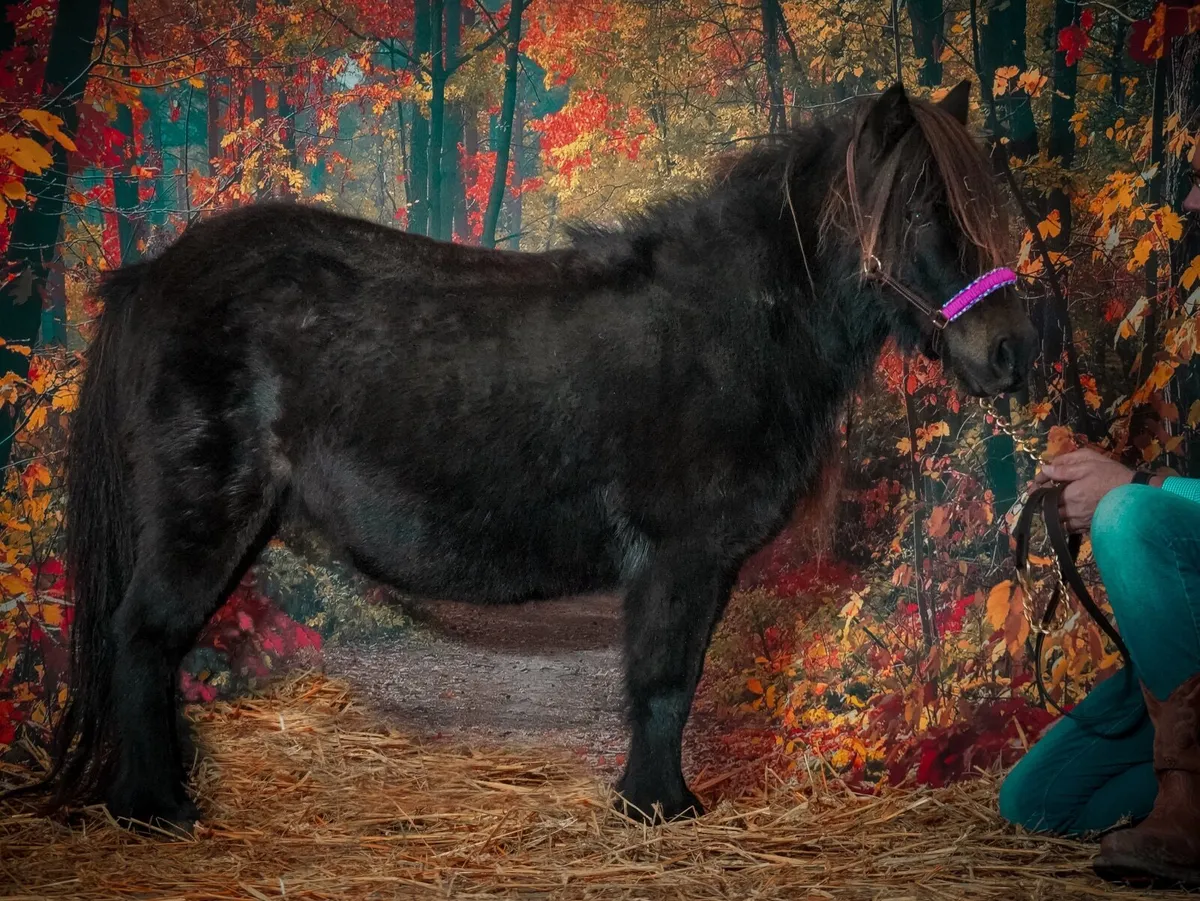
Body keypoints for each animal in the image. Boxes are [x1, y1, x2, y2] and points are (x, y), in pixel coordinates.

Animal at [38, 78, 1035, 829]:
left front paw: (656, 801)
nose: (1013, 351)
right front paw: (658, 807)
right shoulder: (679, 557)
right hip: (204, 513)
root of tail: (152, 273)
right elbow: (664, 681)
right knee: (145, 638)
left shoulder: (701, 565)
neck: (726, 325)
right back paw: (156, 808)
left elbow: (671, 681)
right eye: (924, 209)